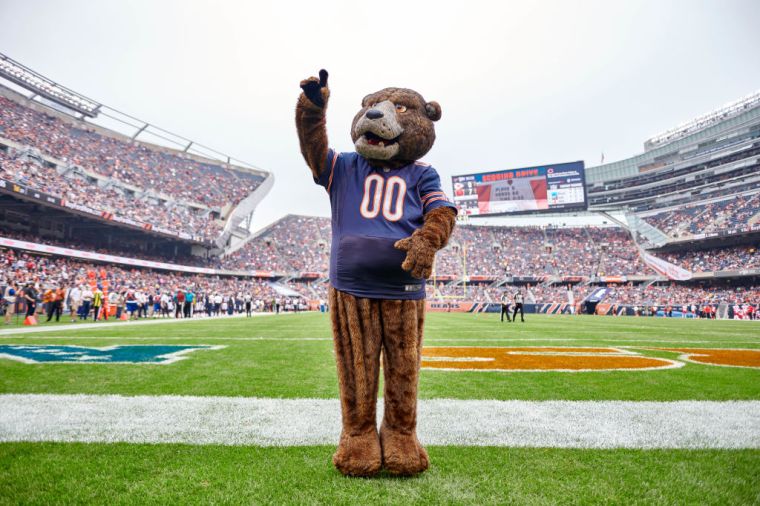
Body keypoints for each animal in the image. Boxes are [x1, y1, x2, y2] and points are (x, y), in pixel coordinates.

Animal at [296, 69, 457, 476]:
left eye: (400, 107)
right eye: (369, 104)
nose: (370, 116)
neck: (388, 165)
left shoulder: (431, 182)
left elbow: (439, 215)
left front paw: (420, 249)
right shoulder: (332, 167)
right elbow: (315, 148)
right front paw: (316, 95)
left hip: (405, 313)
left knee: (403, 366)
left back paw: (403, 456)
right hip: (352, 307)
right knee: (357, 363)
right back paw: (358, 456)